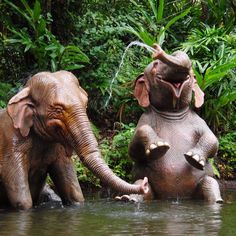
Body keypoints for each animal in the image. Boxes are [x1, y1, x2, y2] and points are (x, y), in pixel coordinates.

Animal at [0, 70, 148, 210]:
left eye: (86, 103)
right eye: (58, 110)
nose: (145, 184)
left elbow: (75, 194)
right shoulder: (11, 145)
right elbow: (22, 202)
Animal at [116, 45, 223, 204]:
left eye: (192, 73)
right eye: (155, 65)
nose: (158, 50)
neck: (173, 113)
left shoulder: (199, 121)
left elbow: (213, 139)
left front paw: (194, 158)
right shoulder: (144, 118)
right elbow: (133, 150)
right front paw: (158, 147)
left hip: (202, 184)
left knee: (210, 183)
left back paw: (218, 201)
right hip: (146, 184)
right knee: (141, 185)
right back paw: (127, 199)